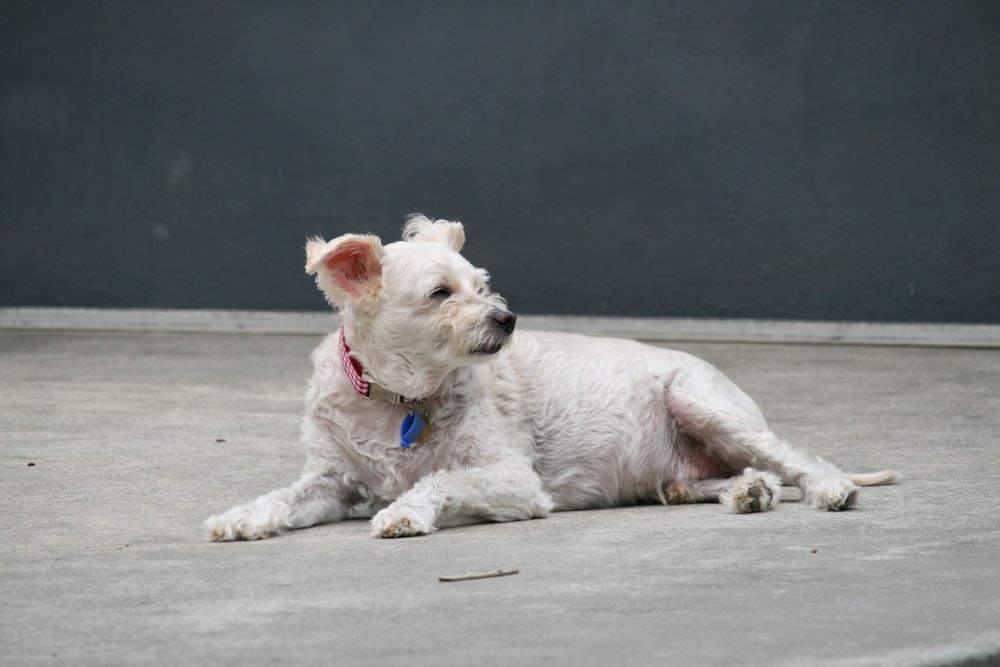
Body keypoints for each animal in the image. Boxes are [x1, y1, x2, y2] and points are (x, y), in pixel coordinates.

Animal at [205, 217, 900, 540]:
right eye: (440, 293)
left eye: (481, 284)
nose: (508, 319)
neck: (399, 395)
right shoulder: (331, 481)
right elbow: (284, 498)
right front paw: (241, 517)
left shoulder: (512, 480)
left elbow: (440, 481)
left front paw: (404, 512)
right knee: (733, 479)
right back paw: (744, 491)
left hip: (700, 402)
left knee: (795, 460)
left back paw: (829, 488)